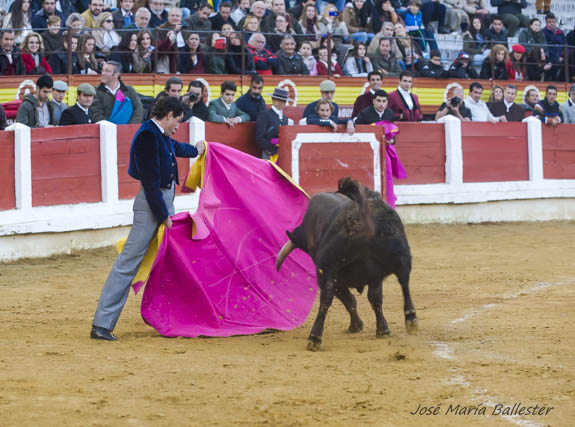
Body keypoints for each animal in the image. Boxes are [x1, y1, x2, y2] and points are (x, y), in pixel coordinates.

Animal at [276, 177, 416, 352]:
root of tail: (362, 215)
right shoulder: (375, 276)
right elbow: (375, 298)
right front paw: (382, 330)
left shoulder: (337, 275)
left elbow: (350, 299)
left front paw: (357, 326)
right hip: (401, 253)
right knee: (404, 279)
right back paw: (410, 317)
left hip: (327, 269)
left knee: (327, 297)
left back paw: (315, 337)